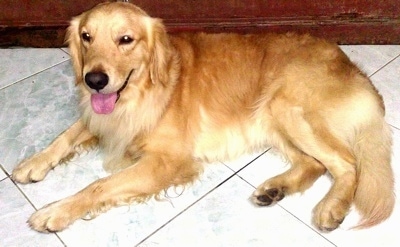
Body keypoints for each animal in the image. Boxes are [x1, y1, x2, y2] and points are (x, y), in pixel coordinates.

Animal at [11, 2, 394, 233]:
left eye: (126, 39)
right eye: (86, 37)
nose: (94, 80)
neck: (142, 92)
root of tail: (352, 67)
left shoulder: (167, 161)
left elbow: (98, 185)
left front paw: (56, 210)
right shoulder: (105, 117)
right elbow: (65, 135)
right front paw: (33, 163)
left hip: (287, 108)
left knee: (346, 163)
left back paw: (332, 207)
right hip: (273, 119)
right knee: (314, 164)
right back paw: (275, 189)